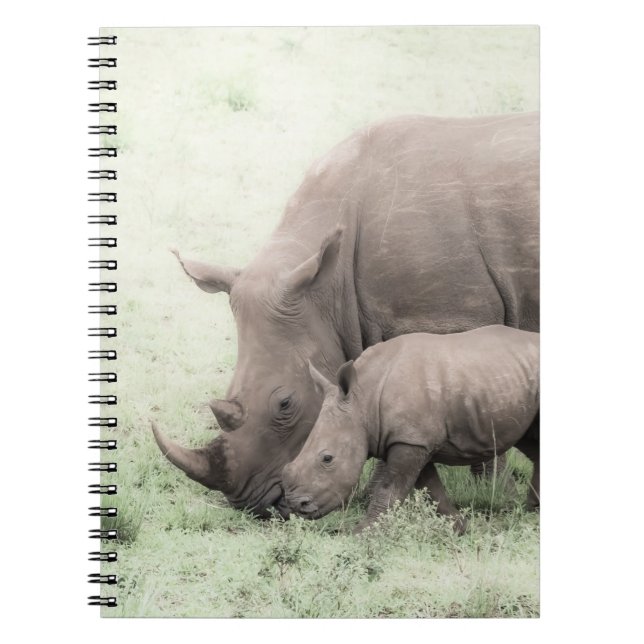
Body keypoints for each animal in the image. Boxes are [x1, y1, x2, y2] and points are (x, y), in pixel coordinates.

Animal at [282, 326, 540, 532]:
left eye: (327, 459)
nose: (297, 505)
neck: (364, 399)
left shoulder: (411, 440)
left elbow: (391, 489)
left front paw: (362, 534)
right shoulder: (413, 439)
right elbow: (431, 489)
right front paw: (459, 527)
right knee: (531, 443)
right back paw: (533, 510)